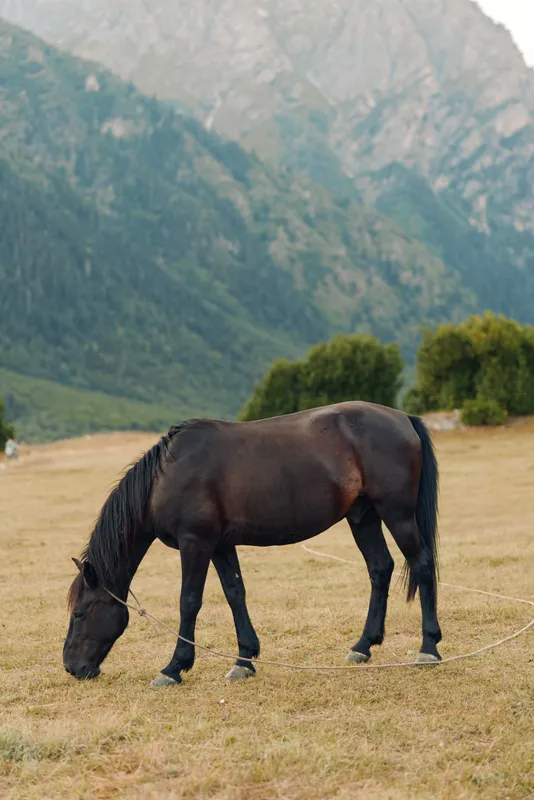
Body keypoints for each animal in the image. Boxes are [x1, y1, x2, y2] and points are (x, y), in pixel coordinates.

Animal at [63, 401, 441, 686]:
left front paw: (174, 667)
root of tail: (402, 418)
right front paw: (244, 660)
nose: (71, 667)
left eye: (80, 613)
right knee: (380, 569)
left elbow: (189, 601)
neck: (167, 476)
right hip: (363, 517)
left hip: (397, 514)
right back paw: (363, 646)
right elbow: (235, 594)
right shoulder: (219, 545)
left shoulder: (195, 543)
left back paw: (429, 648)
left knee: (422, 564)